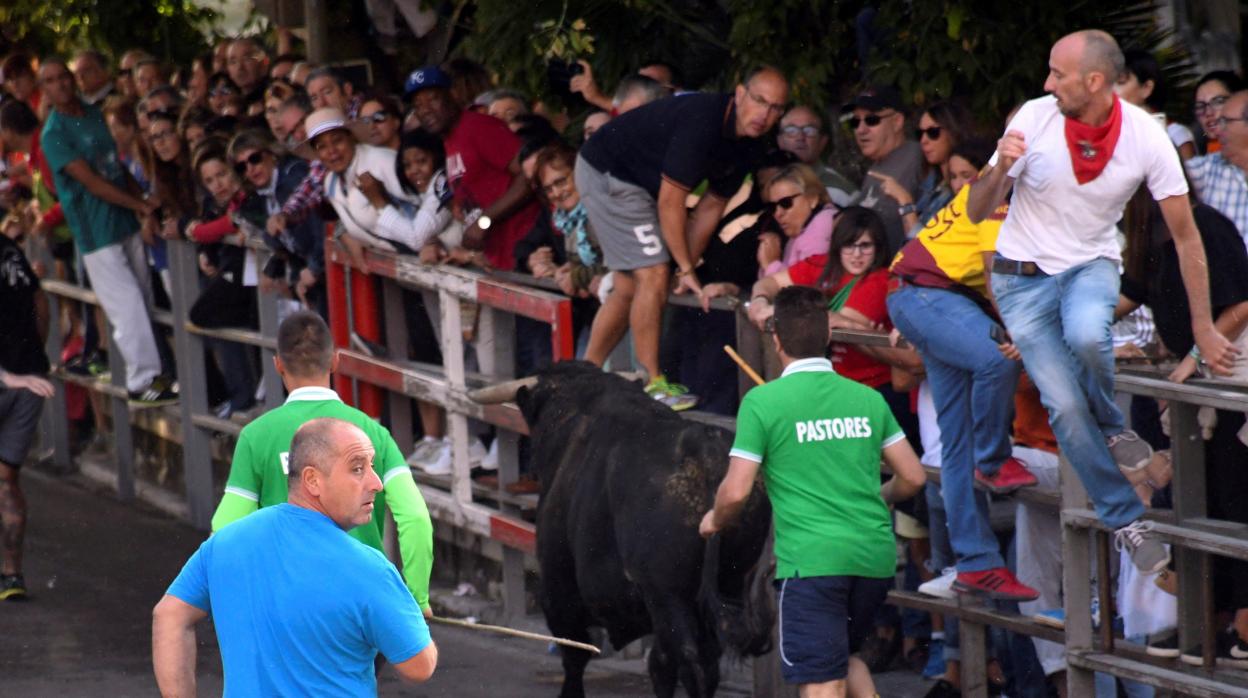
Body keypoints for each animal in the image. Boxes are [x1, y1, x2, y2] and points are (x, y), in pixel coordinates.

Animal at [511, 362, 773, 694]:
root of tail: (705, 449)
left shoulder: (559, 589)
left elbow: (574, 654)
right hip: (730, 582)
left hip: (667, 595)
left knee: (692, 662)